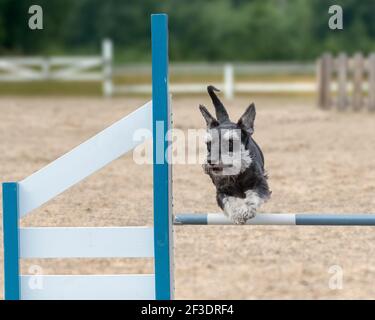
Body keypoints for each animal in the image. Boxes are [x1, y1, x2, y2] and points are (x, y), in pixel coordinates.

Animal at [200, 85, 270, 225]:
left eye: (231, 142)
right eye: (209, 143)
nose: (211, 161)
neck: (236, 174)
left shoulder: (260, 182)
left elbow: (254, 196)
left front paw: (246, 211)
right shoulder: (221, 191)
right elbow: (229, 202)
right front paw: (237, 214)